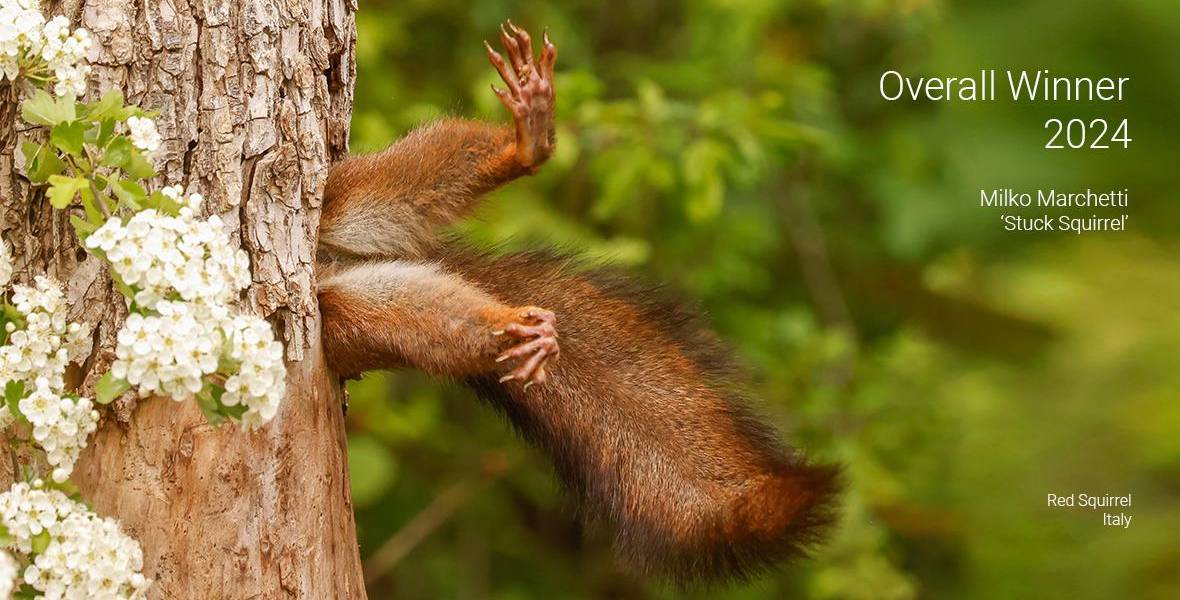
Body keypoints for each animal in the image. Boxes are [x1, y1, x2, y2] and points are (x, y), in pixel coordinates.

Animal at [313, 22, 840, 581]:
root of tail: (331, 264)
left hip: (343, 196)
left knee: (408, 176)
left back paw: (527, 142)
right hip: (350, 316)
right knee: (423, 320)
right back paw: (515, 330)